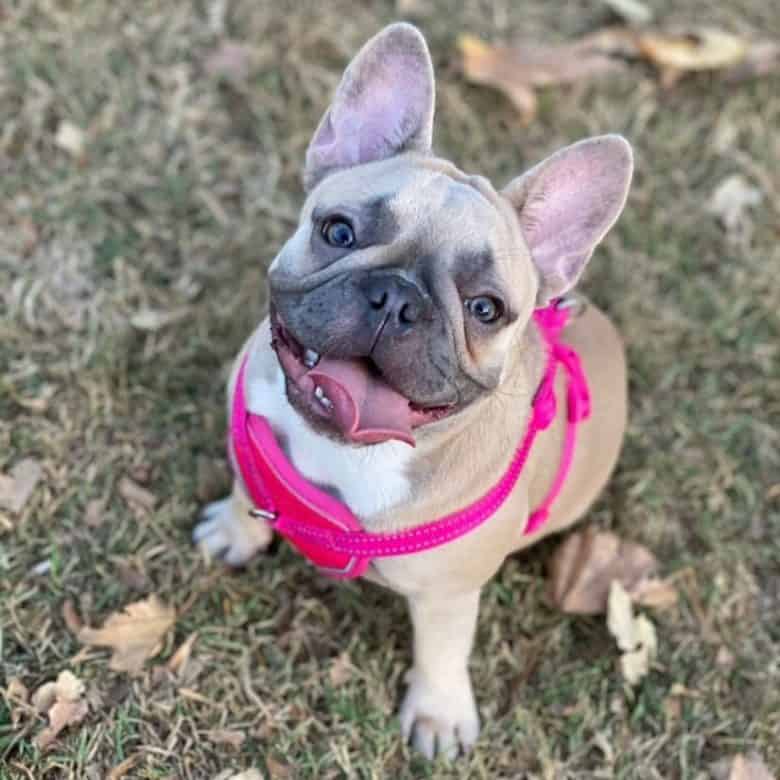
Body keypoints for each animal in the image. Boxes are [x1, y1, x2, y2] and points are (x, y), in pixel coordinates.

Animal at [192, 21, 632, 760]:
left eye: (486, 309)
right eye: (339, 231)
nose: (398, 298)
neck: (347, 452)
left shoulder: (449, 594)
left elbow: (443, 650)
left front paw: (439, 713)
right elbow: (247, 486)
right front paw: (234, 529)